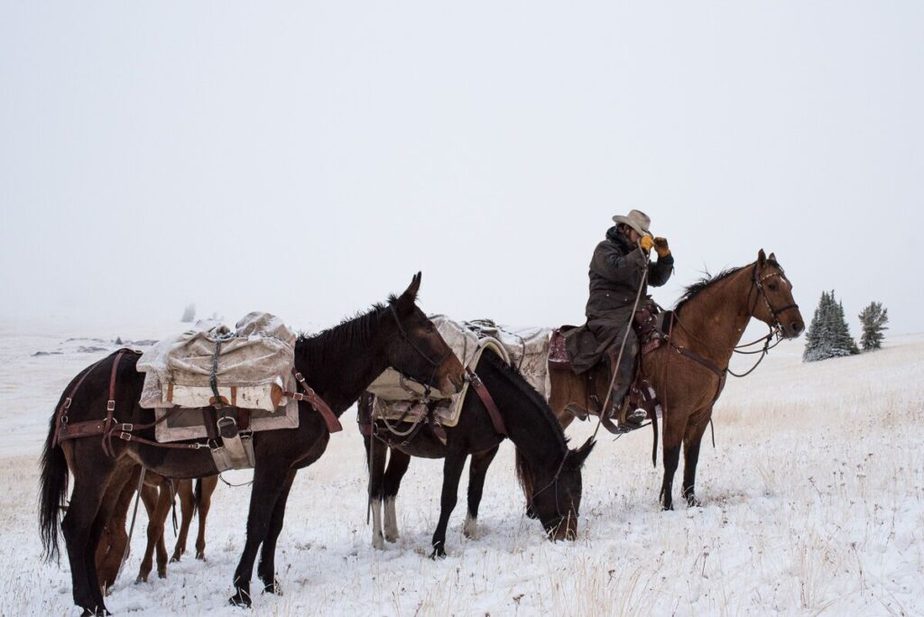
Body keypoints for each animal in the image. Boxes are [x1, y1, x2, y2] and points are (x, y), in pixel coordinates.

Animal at [40, 273, 465, 615]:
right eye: (425, 330)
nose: (460, 377)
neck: (305, 383)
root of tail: (74, 389)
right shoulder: (272, 464)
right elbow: (257, 523)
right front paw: (241, 592)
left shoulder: (288, 469)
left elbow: (274, 526)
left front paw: (270, 583)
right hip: (96, 471)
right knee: (76, 527)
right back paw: (92, 604)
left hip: (120, 471)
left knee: (95, 530)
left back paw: (96, 601)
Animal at [361, 347, 595, 558]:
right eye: (568, 493)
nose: (567, 537)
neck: (492, 399)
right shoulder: (456, 451)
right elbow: (448, 498)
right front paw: (438, 548)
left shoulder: (485, 451)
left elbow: (476, 492)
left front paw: (471, 533)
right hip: (375, 441)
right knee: (375, 488)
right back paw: (378, 540)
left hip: (401, 447)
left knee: (390, 485)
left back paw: (392, 533)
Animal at [550, 250, 804, 510]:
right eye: (772, 285)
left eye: (789, 285)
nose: (797, 326)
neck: (692, 342)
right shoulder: (676, 412)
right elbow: (670, 459)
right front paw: (667, 505)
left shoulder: (700, 414)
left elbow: (691, 457)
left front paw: (691, 501)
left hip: (566, 414)